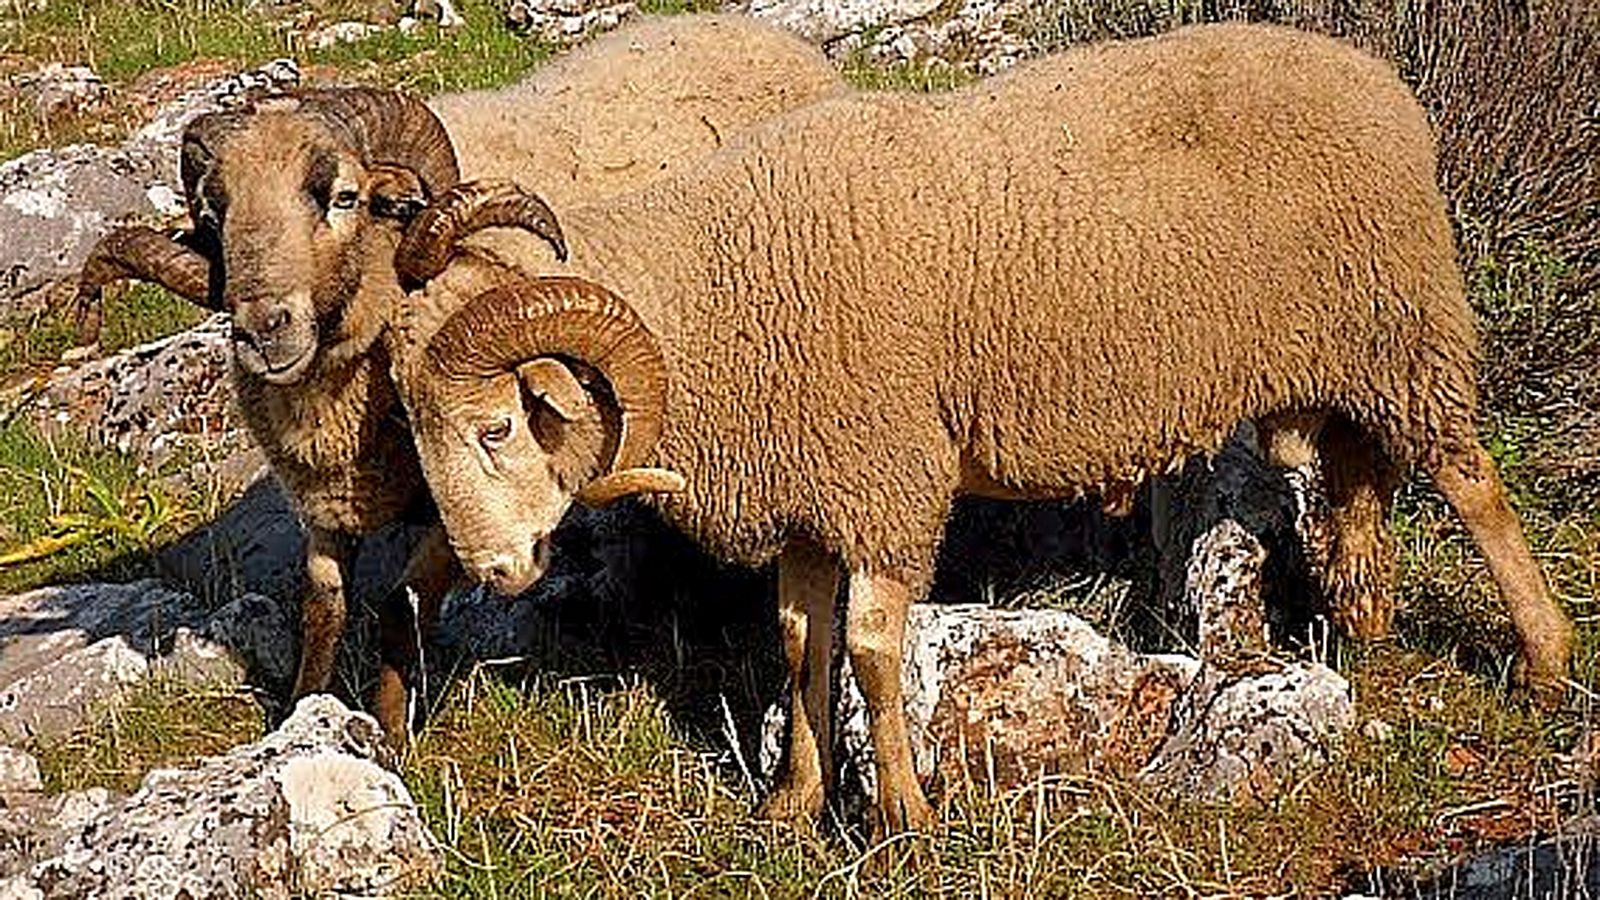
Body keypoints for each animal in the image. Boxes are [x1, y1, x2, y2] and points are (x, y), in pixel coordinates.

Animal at [68, 14, 844, 744]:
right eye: (212, 210)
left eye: (340, 196)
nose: (265, 330)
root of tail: (758, 31)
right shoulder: (327, 498)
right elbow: (322, 607)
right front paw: (302, 715)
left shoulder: (471, 497)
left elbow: (401, 604)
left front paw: (390, 731)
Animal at [385, 22, 1576, 833]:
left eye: (498, 428)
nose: (489, 573)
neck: (721, 297)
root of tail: (1382, 82)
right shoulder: (815, 485)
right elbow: (797, 641)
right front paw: (794, 802)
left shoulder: (886, 478)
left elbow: (870, 655)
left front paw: (905, 816)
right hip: (1340, 352)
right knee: (1358, 471)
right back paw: (1362, 621)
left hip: (1402, 323)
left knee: (1469, 479)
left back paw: (1544, 657)